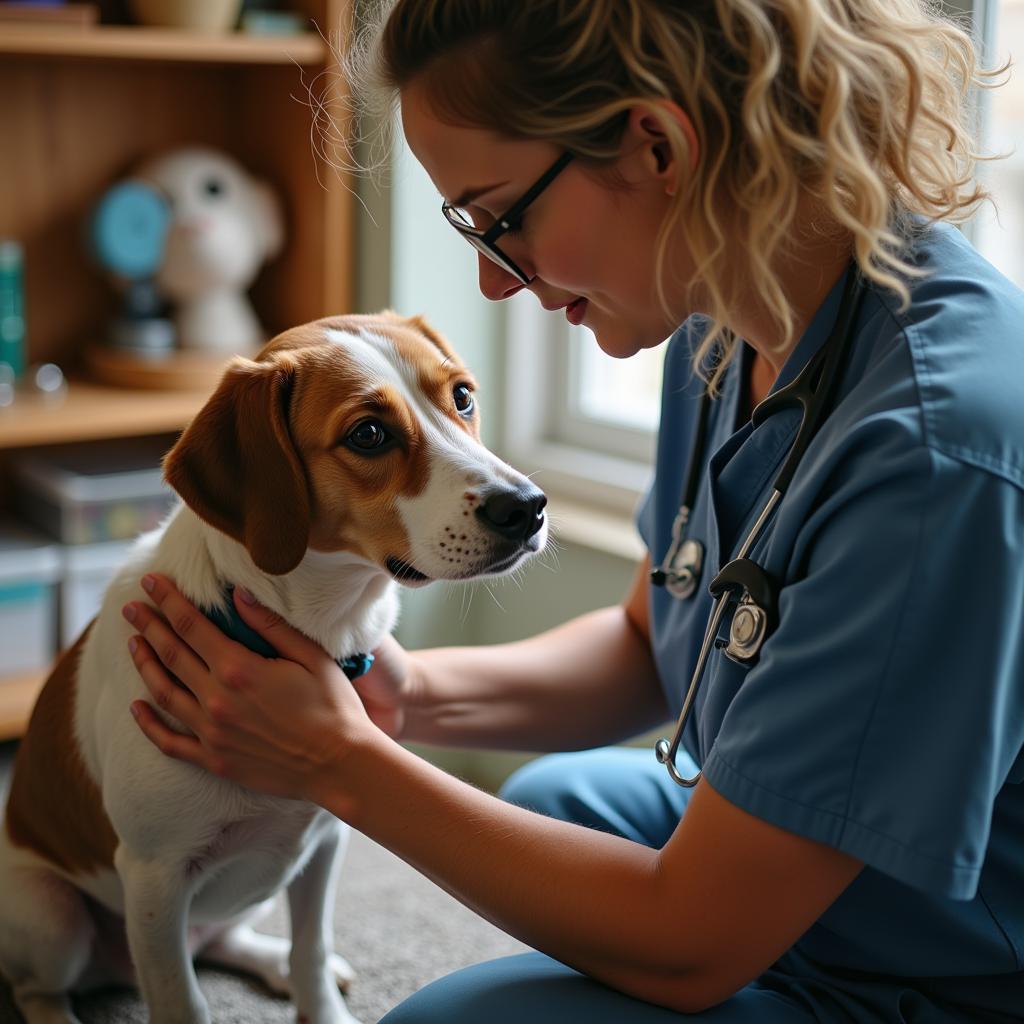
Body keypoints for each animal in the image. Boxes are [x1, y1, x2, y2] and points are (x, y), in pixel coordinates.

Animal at [0, 311, 552, 1024]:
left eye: (461, 396)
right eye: (368, 434)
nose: (527, 505)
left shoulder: (324, 841)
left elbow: (310, 948)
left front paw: (320, 1004)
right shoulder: (154, 877)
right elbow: (182, 1000)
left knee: (224, 940)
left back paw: (269, 964)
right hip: (51, 914)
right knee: (41, 987)